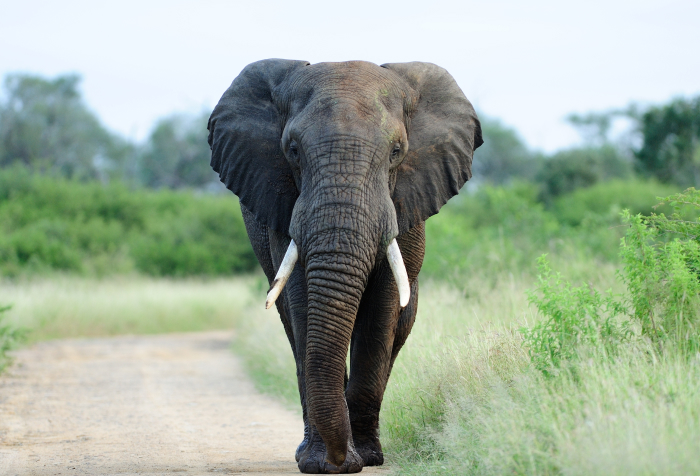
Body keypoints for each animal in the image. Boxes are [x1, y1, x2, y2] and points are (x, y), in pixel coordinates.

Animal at [207, 59, 482, 473]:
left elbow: (381, 310)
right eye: (292, 150)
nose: (340, 461)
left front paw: (365, 458)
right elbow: (303, 299)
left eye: (397, 151)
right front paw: (323, 464)